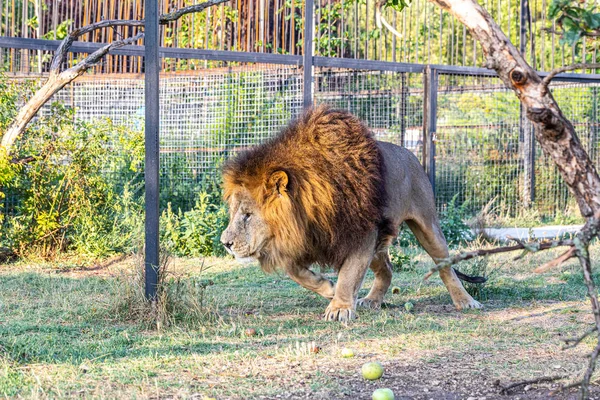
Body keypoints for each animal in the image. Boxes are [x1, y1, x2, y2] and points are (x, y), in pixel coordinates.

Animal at [220, 106, 482, 322]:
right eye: (234, 213)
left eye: (247, 215)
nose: (225, 243)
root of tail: (410, 154)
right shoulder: (306, 238)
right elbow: (293, 271)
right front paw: (327, 288)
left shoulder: (360, 233)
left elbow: (349, 274)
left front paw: (340, 308)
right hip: (380, 239)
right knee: (387, 269)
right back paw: (372, 300)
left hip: (426, 226)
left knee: (446, 266)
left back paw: (466, 301)